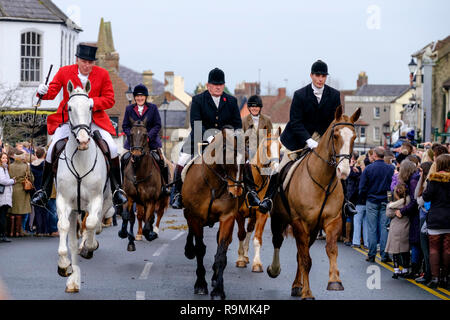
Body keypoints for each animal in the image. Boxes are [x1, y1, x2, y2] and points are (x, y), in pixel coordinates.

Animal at [55, 80, 114, 292]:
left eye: (90, 107)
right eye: (69, 108)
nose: (82, 140)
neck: (80, 159)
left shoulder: (96, 199)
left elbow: (90, 223)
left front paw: (89, 247)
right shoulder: (64, 201)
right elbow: (63, 226)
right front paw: (64, 265)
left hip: (106, 199)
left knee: (94, 222)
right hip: (74, 210)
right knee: (73, 238)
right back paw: (73, 279)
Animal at [118, 119, 170, 251]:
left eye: (145, 134)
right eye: (131, 134)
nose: (136, 155)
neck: (138, 172)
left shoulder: (151, 200)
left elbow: (148, 221)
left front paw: (150, 234)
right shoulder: (130, 197)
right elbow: (128, 216)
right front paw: (127, 236)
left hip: (162, 198)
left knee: (159, 213)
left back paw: (154, 231)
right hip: (140, 201)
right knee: (141, 216)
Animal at [183, 126, 246, 298]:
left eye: (246, 159)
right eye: (228, 155)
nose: (236, 192)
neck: (212, 183)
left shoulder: (227, 218)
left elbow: (221, 254)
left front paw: (218, 289)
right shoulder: (195, 218)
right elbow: (200, 249)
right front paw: (200, 284)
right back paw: (188, 250)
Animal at [236, 126, 282, 272]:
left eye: (280, 146)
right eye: (266, 147)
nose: (276, 168)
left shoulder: (262, 212)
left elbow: (257, 238)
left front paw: (257, 263)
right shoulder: (238, 214)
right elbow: (241, 234)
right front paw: (240, 260)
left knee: (250, 229)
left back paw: (246, 255)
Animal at [266, 106, 360, 298]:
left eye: (354, 137)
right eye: (335, 135)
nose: (344, 171)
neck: (322, 181)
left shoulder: (332, 221)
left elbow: (330, 250)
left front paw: (334, 281)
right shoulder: (299, 223)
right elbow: (306, 260)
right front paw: (308, 293)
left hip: (313, 229)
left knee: (299, 254)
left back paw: (297, 285)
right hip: (279, 219)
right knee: (278, 241)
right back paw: (274, 270)